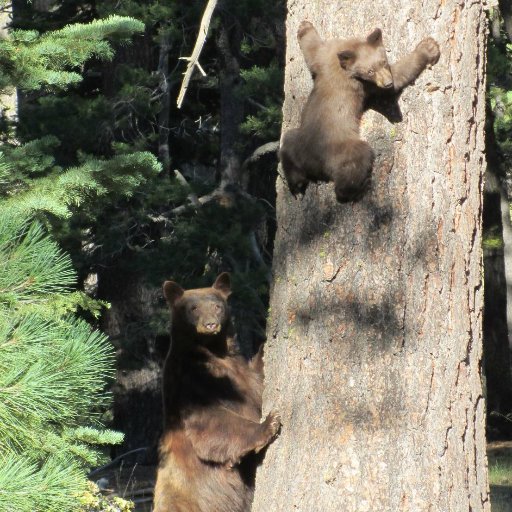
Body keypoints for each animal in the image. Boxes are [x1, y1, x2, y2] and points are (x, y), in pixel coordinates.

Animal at [153, 274, 280, 512]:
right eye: (193, 308)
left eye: (217, 306)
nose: (210, 324)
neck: (214, 351)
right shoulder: (190, 384)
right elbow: (212, 421)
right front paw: (269, 423)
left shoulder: (241, 372)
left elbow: (258, 380)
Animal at [280, 21, 440, 202]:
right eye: (370, 71)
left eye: (383, 62)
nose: (387, 83)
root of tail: (313, 164)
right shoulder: (365, 84)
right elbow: (400, 73)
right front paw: (428, 48)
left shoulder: (326, 56)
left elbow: (312, 49)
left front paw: (304, 26)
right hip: (346, 150)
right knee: (350, 174)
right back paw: (361, 188)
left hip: (296, 142)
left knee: (288, 150)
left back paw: (296, 188)